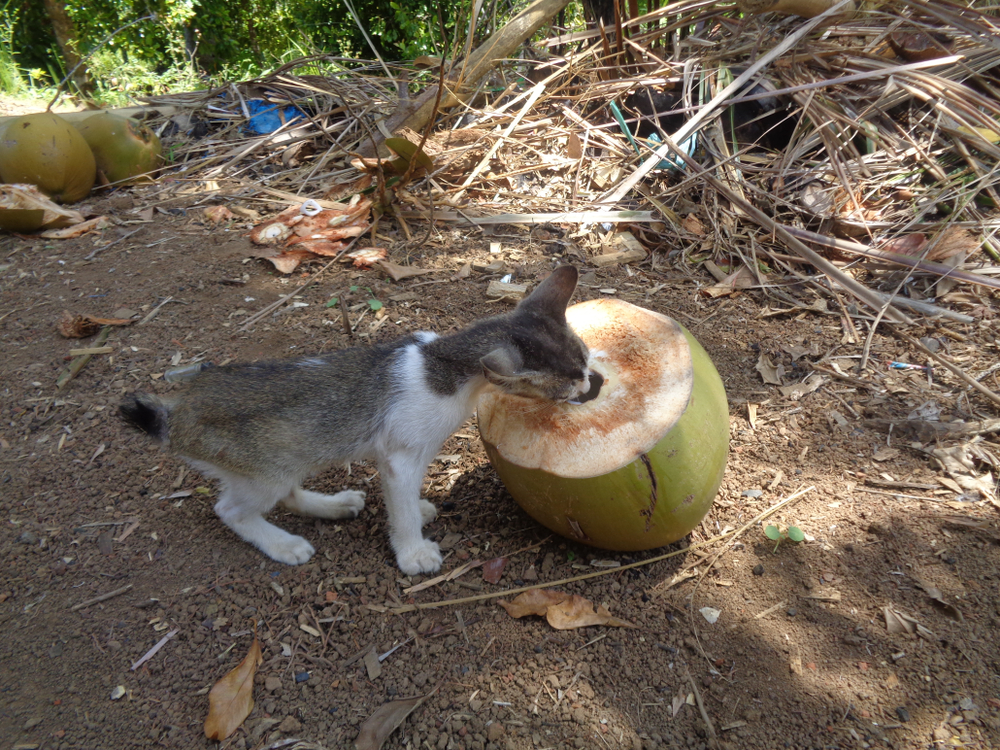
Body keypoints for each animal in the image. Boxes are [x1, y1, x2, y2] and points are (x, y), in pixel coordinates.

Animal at [125, 268, 592, 580]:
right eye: (566, 390)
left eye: (587, 360)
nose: (592, 383)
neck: (441, 365)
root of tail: (176, 413)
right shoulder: (401, 456)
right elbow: (401, 506)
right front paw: (413, 552)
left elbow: (406, 499)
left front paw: (417, 511)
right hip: (264, 469)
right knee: (231, 510)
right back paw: (284, 544)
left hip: (286, 456)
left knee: (286, 491)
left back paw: (335, 505)